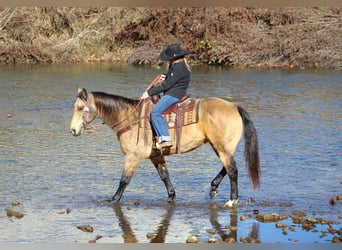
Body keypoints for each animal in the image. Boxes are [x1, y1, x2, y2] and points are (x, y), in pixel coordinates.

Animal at [69, 87, 260, 207]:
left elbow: (124, 180)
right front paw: (171, 196)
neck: (130, 118)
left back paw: (232, 200)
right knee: (227, 168)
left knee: (232, 170)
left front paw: (114, 199)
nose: (72, 130)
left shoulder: (132, 157)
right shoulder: (156, 156)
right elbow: (164, 176)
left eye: (80, 108)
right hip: (220, 146)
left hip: (222, 148)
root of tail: (235, 107)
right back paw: (213, 188)